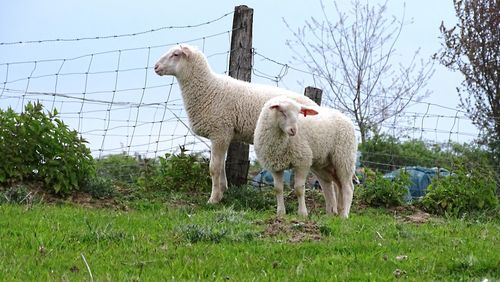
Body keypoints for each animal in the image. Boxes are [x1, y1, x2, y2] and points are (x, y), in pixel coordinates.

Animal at [153, 44, 316, 204]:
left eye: (176, 54)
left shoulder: (219, 132)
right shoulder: (223, 135)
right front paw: (222, 190)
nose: (155, 67)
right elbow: (221, 166)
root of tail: (315, 105)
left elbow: (214, 168)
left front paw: (213, 199)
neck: (208, 89)